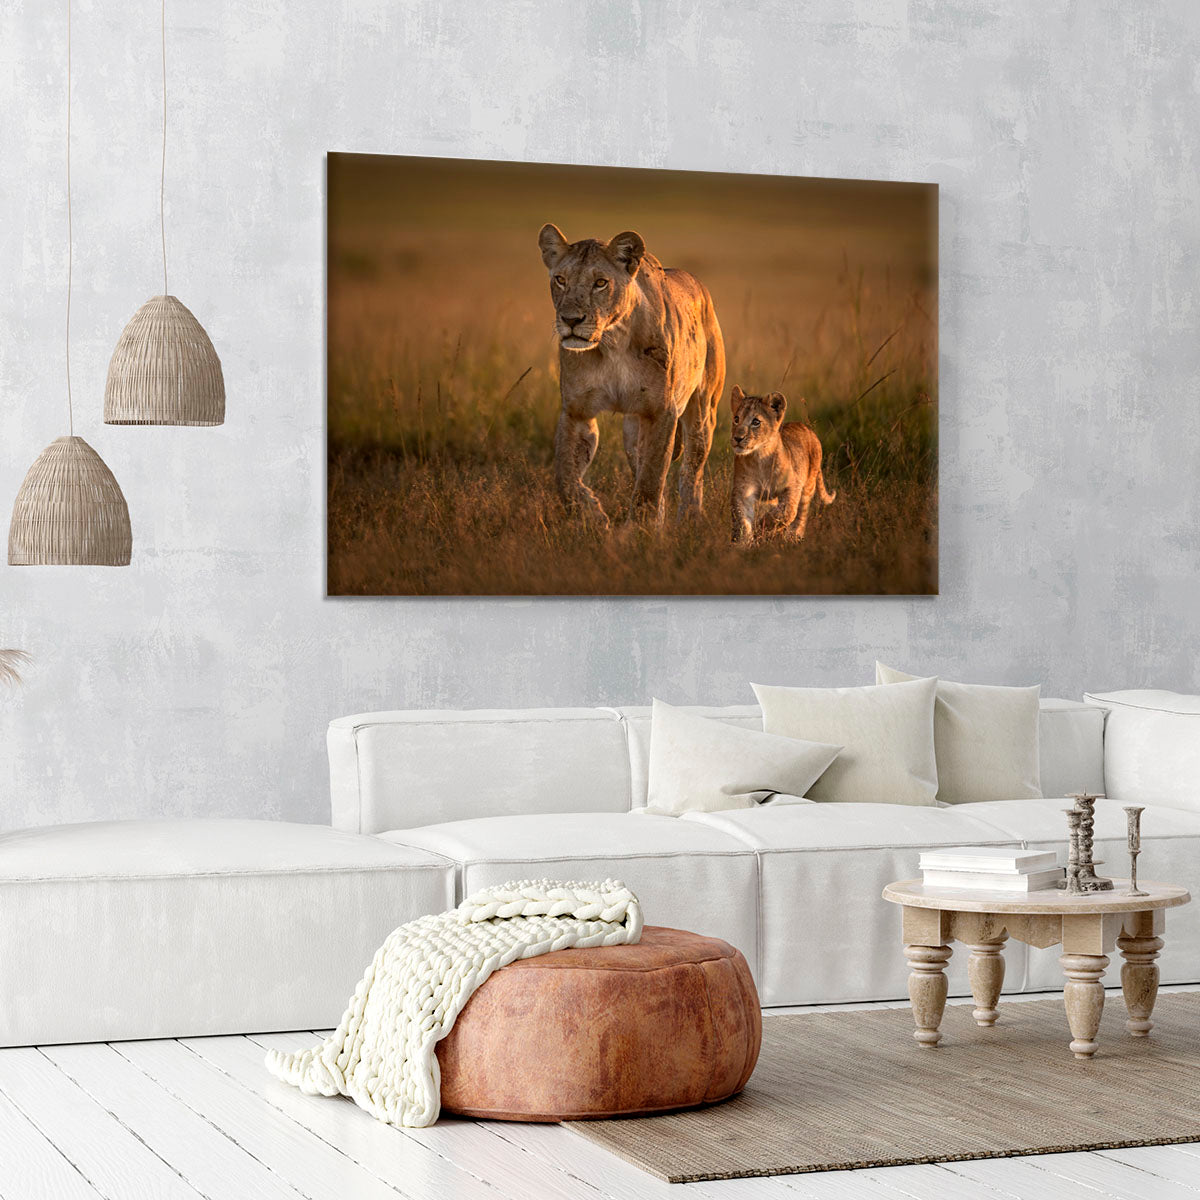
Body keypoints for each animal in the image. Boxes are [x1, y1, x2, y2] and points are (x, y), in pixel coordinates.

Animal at [538, 223, 725, 527]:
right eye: (561, 280)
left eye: (600, 283)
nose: (570, 320)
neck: (612, 342)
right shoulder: (576, 411)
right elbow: (565, 477)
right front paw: (592, 515)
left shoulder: (661, 412)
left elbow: (651, 480)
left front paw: (640, 530)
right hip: (633, 429)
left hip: (703, 409)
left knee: (692, 470)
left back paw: (690, 519)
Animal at [729, 386, 836, 544]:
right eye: (736, 419)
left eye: (756, 422)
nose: (738, 438)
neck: (760, 457)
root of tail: (807, 428)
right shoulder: (743, 490)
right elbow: (742, 519)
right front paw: (743, 543)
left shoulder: (793, 486)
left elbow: (787, 511)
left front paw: (762, 526)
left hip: (808, 486)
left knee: (801, 515)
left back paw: (793, 537)